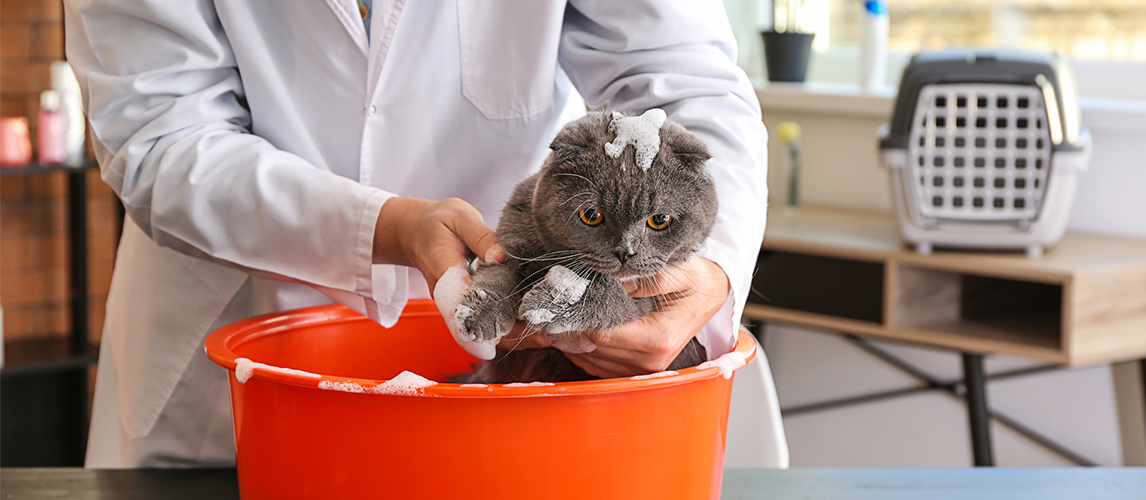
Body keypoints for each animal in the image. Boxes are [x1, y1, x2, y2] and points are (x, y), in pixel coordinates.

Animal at [453, 110, 715, 383]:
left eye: (660, 219)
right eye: (591, 215)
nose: (625, 252)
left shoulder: (650, 299)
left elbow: (610, 296)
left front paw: (549, 304)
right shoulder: (511, 241)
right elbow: (498, 275)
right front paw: (478, 315)